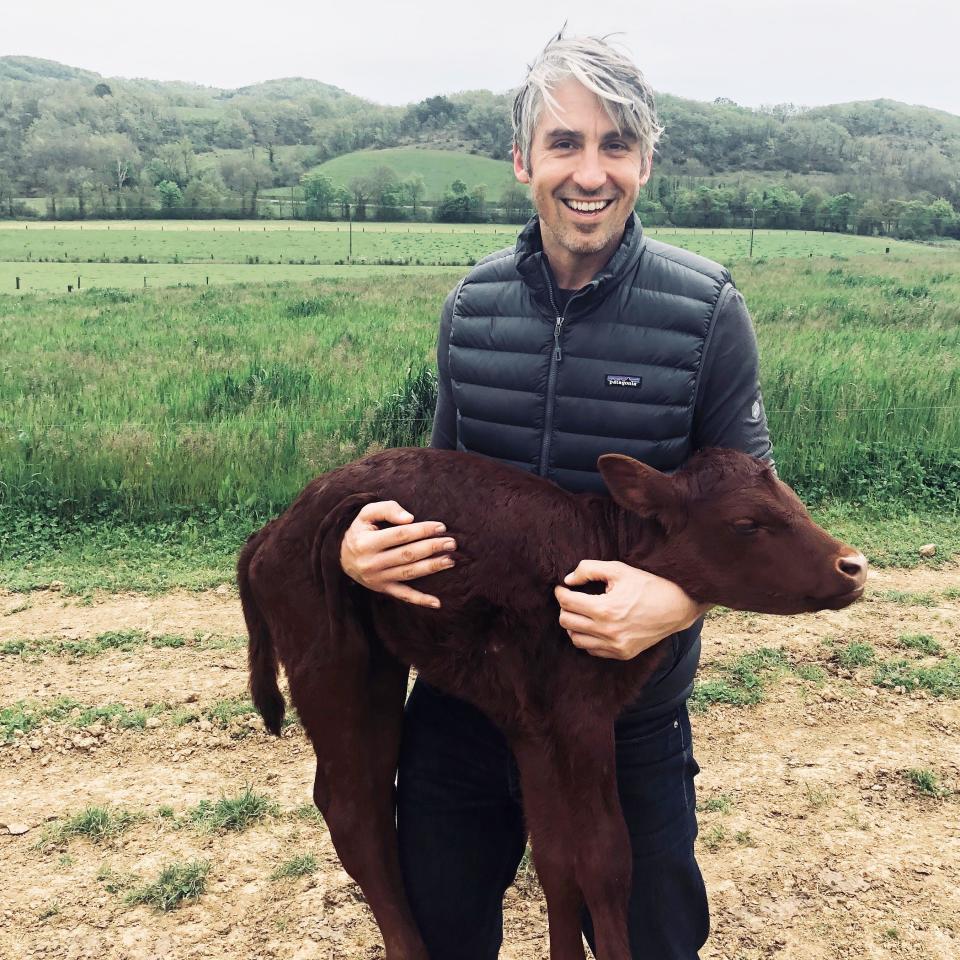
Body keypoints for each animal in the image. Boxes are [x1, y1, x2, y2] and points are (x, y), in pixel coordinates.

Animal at [238, 450, 864, 960]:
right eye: (746, 523)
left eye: (794, 501)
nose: (853, 565)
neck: (604, 552)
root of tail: (274, 527)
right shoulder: (581, 710)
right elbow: (608, 859)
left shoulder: (533, 722)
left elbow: (557, 858)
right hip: (329, 660)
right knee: (350, 810)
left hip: (375, 667)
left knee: (361, 798)